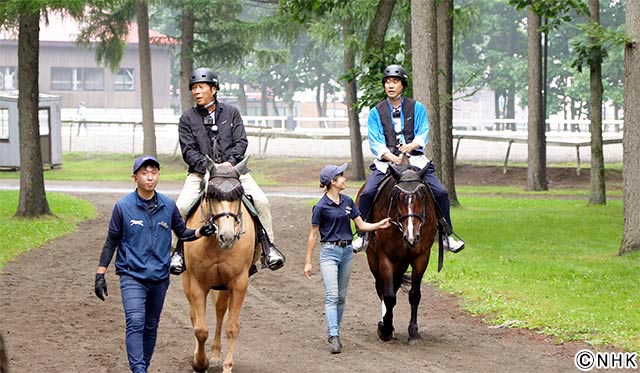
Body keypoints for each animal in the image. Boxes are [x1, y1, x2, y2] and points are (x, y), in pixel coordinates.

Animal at [181, 155, 258, 370]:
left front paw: (227, 366)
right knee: (194, 315)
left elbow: (232, 327)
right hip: (187, 281)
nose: (228, 236)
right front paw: (199, 362)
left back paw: (215, 354)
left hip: (223, 285)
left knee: (219, 311)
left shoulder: (238, 282)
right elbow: (200, 329)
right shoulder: (198, 283)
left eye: (237, 196)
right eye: (212, 195)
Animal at [356, 157, 440, 342]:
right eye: (398, 197)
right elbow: (388, 296)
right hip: (373, 257)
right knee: (382, 288)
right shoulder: (385, 256)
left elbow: (414, 295)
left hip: (402, 261)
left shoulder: (421, 256)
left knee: (394, 285)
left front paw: (413, 332)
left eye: (422, 196)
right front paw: (385, 328)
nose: (411, 236)